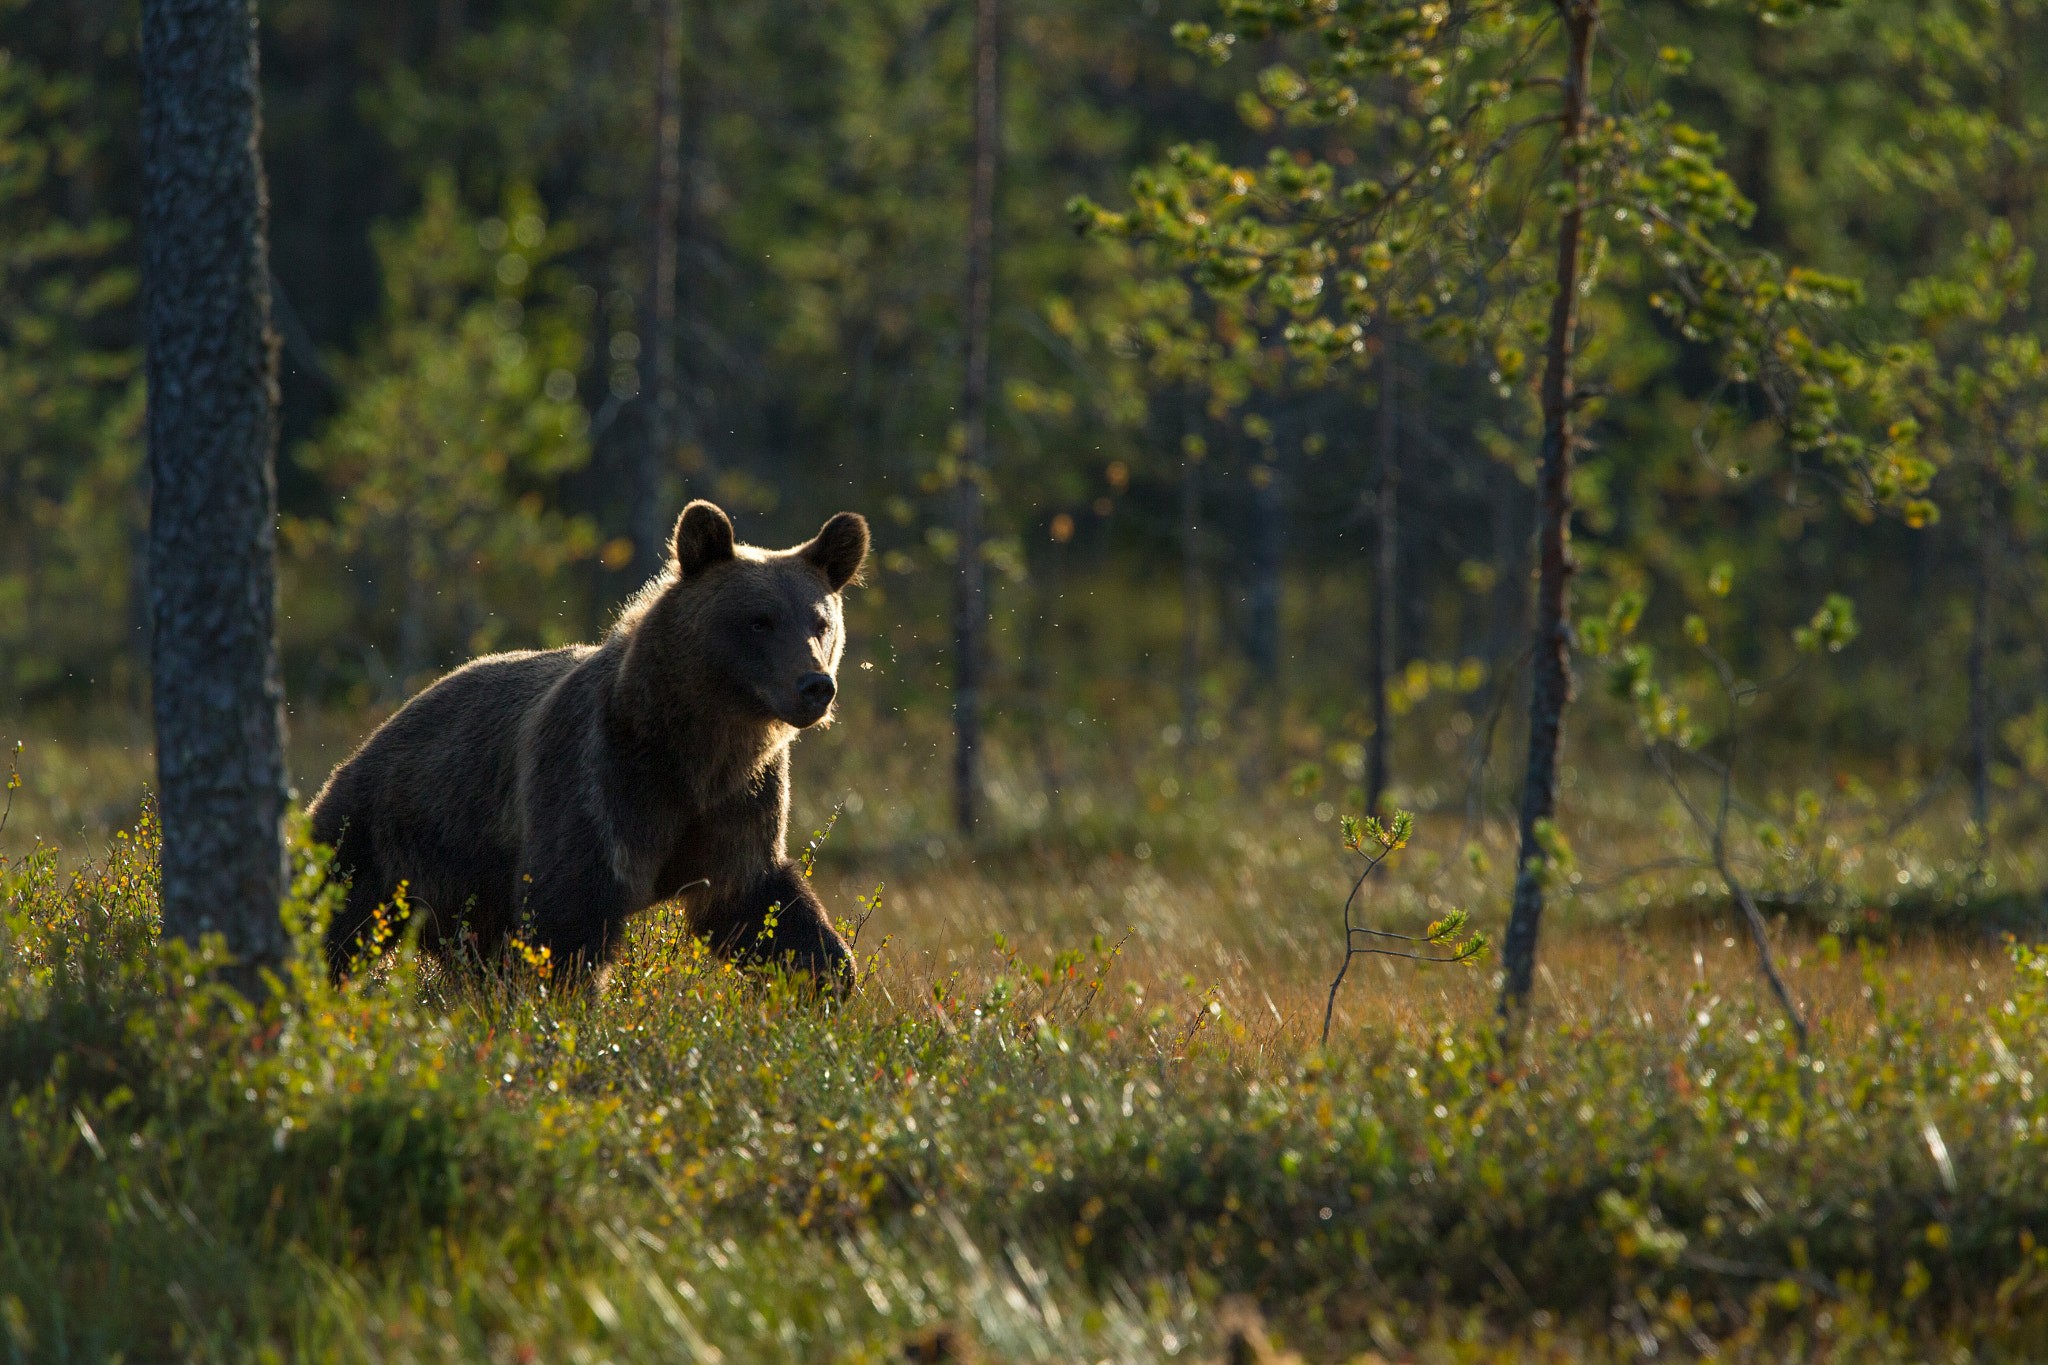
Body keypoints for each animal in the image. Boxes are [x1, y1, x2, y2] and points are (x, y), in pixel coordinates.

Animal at [307, 501, 868, 994]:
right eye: (759, 620)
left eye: (821, 622)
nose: (815, 685)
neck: (692, 746)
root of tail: (374, 735)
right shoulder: (598, 780)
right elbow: (567, 922)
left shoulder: (736, 805)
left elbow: (759, 906)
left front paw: (828, 981)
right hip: (384, 839)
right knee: (333, 918)